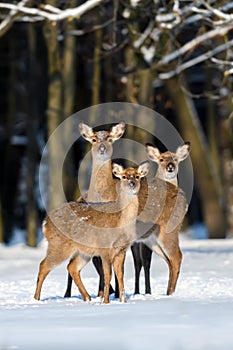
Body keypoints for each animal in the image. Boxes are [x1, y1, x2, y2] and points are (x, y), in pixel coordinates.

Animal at [33, 161, 150, 304]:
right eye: (124, 177)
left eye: (137, 176)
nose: (132, 183)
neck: (120, 222)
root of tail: (45, 223)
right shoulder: (104, 247)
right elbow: (108, 274)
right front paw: (106, 301)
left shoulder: (121, 250)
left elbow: (120, 275)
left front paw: (123, 301)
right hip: (59, 245)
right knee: (43, 265)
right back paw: (36, 299)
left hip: (83, 252)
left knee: (72, 267)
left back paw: (87, 297)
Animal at [131, 142, 191, 296]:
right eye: (161, 159)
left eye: (175, 159)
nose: (170, 166)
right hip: (152, 239)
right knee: (169, 261)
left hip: (168, 230)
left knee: (176, 257)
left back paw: (169, 294)